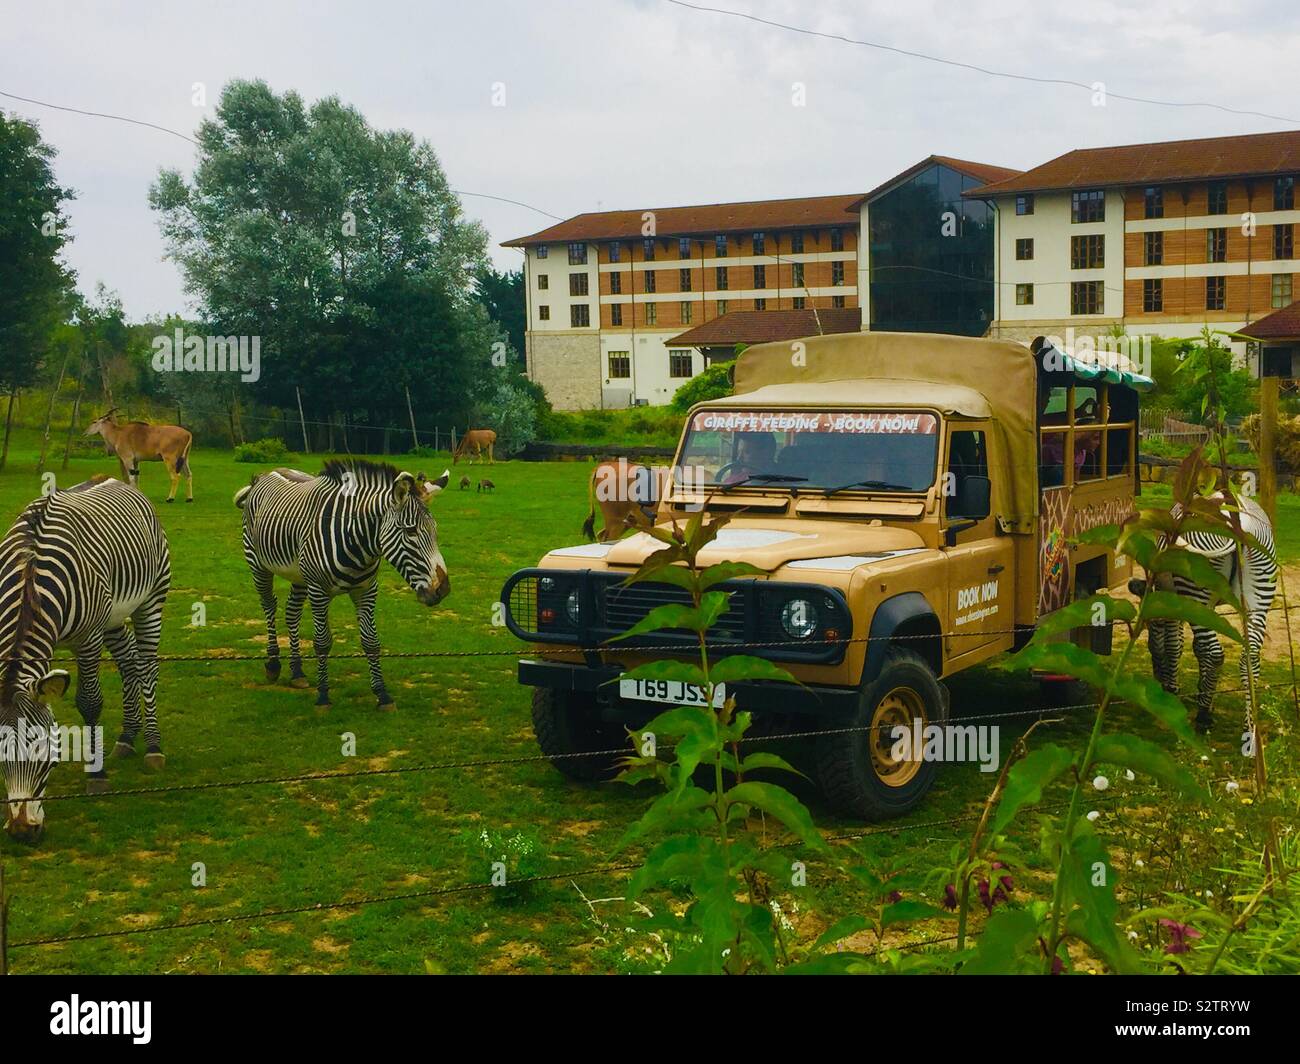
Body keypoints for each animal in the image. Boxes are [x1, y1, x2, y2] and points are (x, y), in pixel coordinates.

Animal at [0, 475, 170, 841]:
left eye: (42, 747)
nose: (22, 832)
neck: (31, 576)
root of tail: (113, 478)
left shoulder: (89, 639)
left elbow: (89, 702)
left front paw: (96, 775)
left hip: (150, 599)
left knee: (147, 667)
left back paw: (152, 746)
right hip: (114, 617)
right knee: (128, 662)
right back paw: (126, 738)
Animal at [234, 461, 451, 710]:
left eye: (436, 530)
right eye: (411, 531)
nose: (443, 589)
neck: (359, 543)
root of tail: (265, 474)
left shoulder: (367, 590)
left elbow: (371, 641)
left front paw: (382, 694)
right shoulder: (318, 590)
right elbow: (322, 642)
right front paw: (323, 696)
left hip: (299, 575)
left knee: (292, 614)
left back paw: (297, 672)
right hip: (257, 562)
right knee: (269, 605)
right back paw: (273, 664)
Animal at [1133, 494, 1277, 734]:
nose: (1157, 682)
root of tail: (1238, 521)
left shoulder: (1172, 599)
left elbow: (1173, 645)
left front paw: (1173, 691)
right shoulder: (1202, 610)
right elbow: (1197, 648)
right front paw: (1202, 693)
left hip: (1196, 586)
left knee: (1216, 653)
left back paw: (1203, 717)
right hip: (1259, 594)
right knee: (1250, 657)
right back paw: (1249, 725)